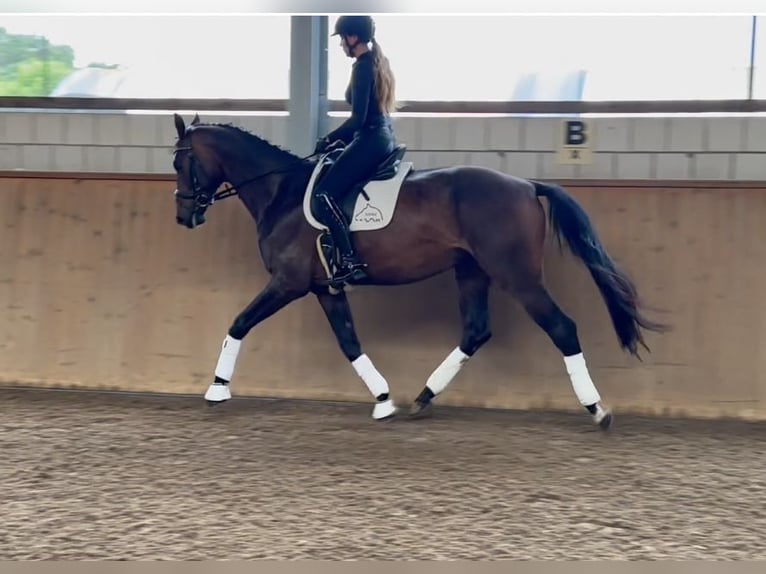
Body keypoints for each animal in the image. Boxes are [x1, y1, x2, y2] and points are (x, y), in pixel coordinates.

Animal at [170, 112, 667, 430]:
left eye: (180, 162)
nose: (184, 217)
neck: (282, 192)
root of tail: (527, 186)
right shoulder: (325, 289)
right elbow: (349, 343)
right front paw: (383, 400)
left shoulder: (288, 283)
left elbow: (238, 323)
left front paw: (216, 389)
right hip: (472, 272)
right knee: (476, 331)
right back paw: (423, 398)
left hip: (517, 276)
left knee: (561, 328)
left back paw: (597, 410)